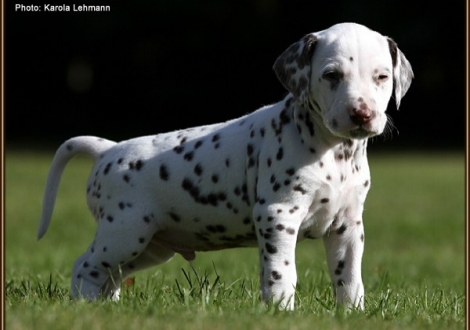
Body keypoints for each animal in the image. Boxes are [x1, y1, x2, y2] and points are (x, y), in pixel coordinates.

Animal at [37, 22, 412, 310]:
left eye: (381, 77)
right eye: (331, 75)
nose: (361, 114)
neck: (335, 152)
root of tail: (108, 150)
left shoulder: (347, 225)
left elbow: (349, 276)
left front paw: (351, 313)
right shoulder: (277, 216)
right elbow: (282, 272)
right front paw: (281, 312)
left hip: (151, 245)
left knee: (112, 274)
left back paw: (110, 308)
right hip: (124, 231)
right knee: (86, 266)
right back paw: (83, 306)